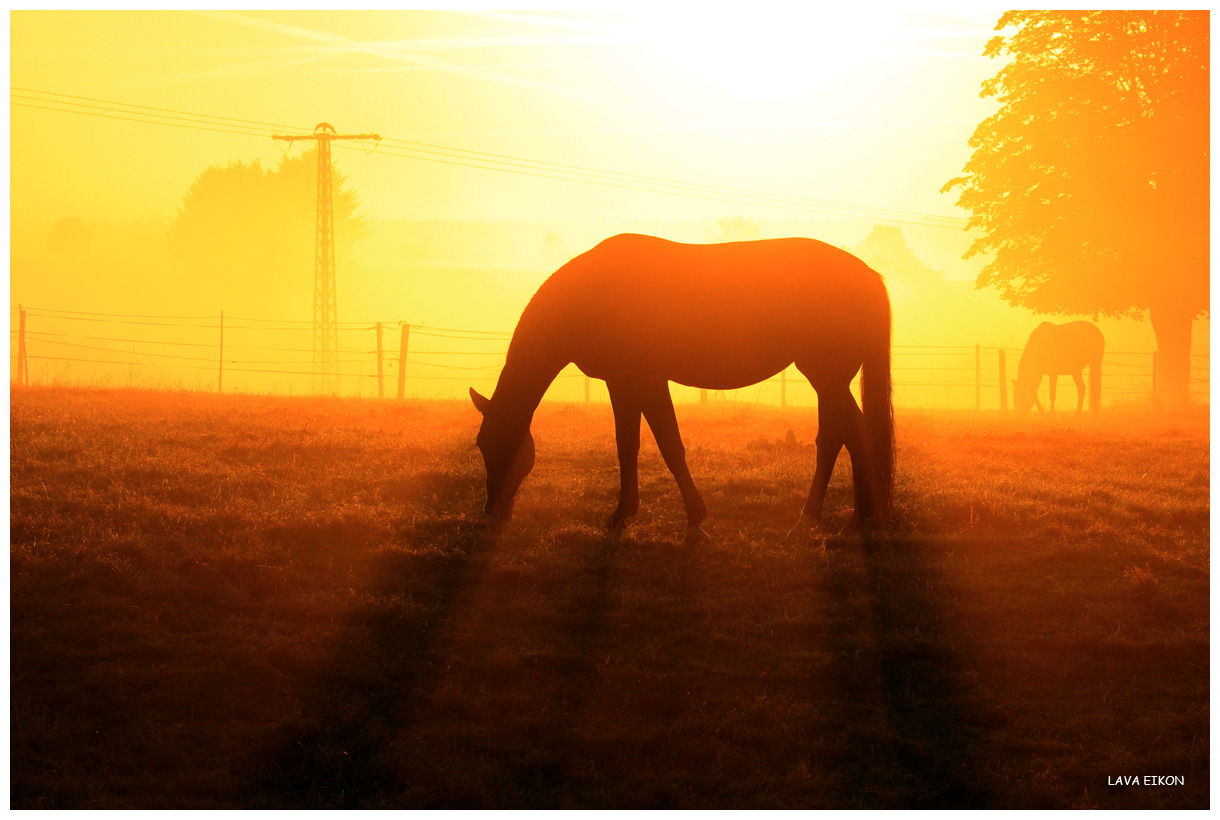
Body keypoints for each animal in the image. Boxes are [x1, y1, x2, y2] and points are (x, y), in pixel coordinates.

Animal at [466, 234, 897, 541]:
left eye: (498, 445)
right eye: (481, 446)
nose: (492, 511)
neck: (591, 294)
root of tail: (870, 276)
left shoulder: (644, 380)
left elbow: (667, 446)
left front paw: (689, 518)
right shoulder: (626, 383)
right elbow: (631, 446)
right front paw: (626, 514)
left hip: (826, 376)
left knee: (850, 434)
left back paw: (837, 519)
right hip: (829, 379)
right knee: (838, 437)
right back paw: (833, 518)